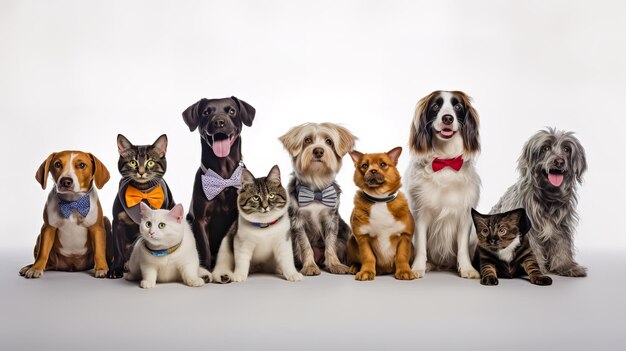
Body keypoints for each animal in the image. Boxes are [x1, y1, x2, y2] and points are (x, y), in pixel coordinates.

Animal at [105, 133, 173, 280]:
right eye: (133, 162)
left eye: (150, 162)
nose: (141, 171)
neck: (142, 192)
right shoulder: (117, 222)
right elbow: (118, 249)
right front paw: (115, 269)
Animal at [182, 96, 255, 270]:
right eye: (206, 112)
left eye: (232, 111)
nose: (219, 122)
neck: (223, 175)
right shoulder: (200, 220)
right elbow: (204, 249)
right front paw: (205, 270)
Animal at [402, 91, 480, 280]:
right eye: (436, 106)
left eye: (457, 106)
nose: (447, 118)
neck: (445, 161)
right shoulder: (420, 213)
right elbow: (421, 246)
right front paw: (417, 268)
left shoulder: (464, 215)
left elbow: (462, 248)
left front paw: (467, 269)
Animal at [490, 129, 588, 278]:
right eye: (545, 148)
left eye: (566, 149)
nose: (559, 161)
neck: (548, 197)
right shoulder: (529, 230)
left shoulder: (561, 227)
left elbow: (562, 247)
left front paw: (566, 266)